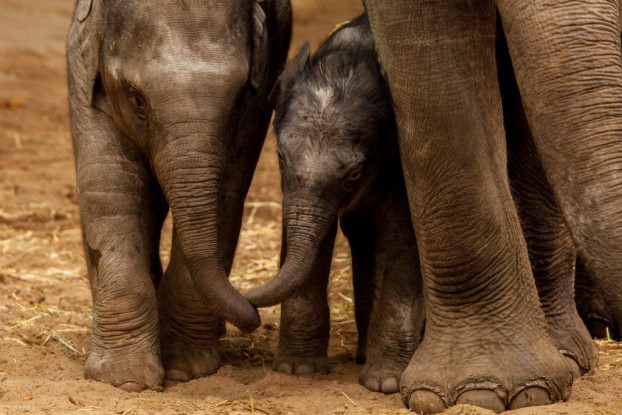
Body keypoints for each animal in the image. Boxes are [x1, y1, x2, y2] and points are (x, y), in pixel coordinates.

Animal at [65, 0, 292, 390]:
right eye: (137, 100)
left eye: (236, 101)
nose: (253, 312)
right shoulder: (82, 67)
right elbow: (109, 187)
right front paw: (125, 380)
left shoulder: (260, 89)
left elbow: (228, 190)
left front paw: (187, 369)